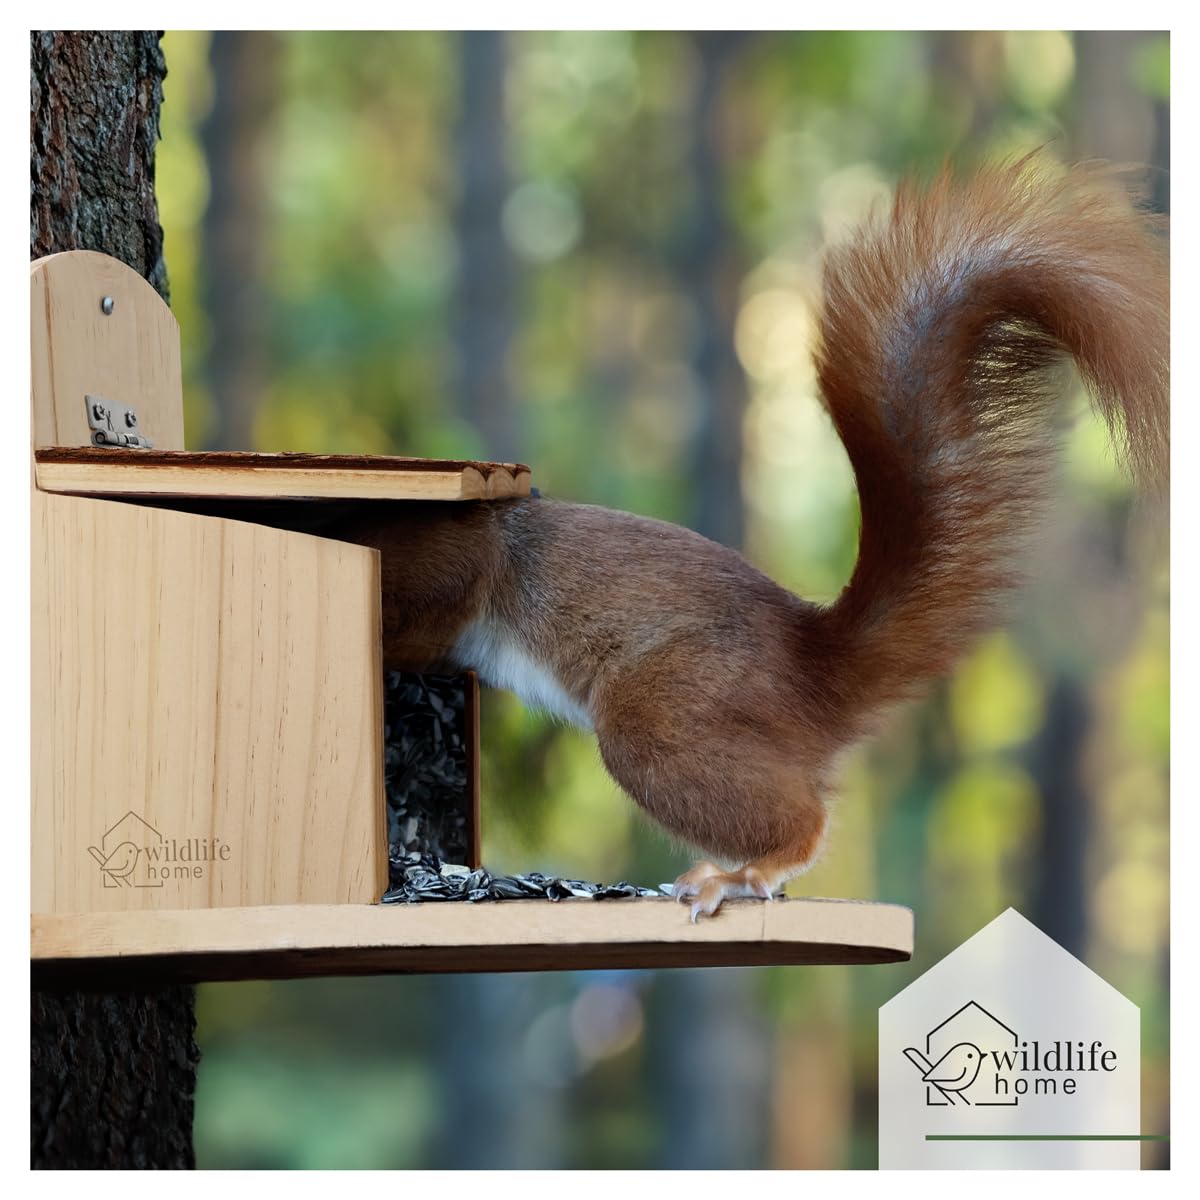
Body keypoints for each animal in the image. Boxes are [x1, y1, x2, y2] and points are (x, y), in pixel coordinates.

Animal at [331, 157, 1169, 920]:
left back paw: (738, 875)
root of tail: (813, 670)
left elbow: (425, 610)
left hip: (663, 718)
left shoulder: (448, 564)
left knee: (801, 819)